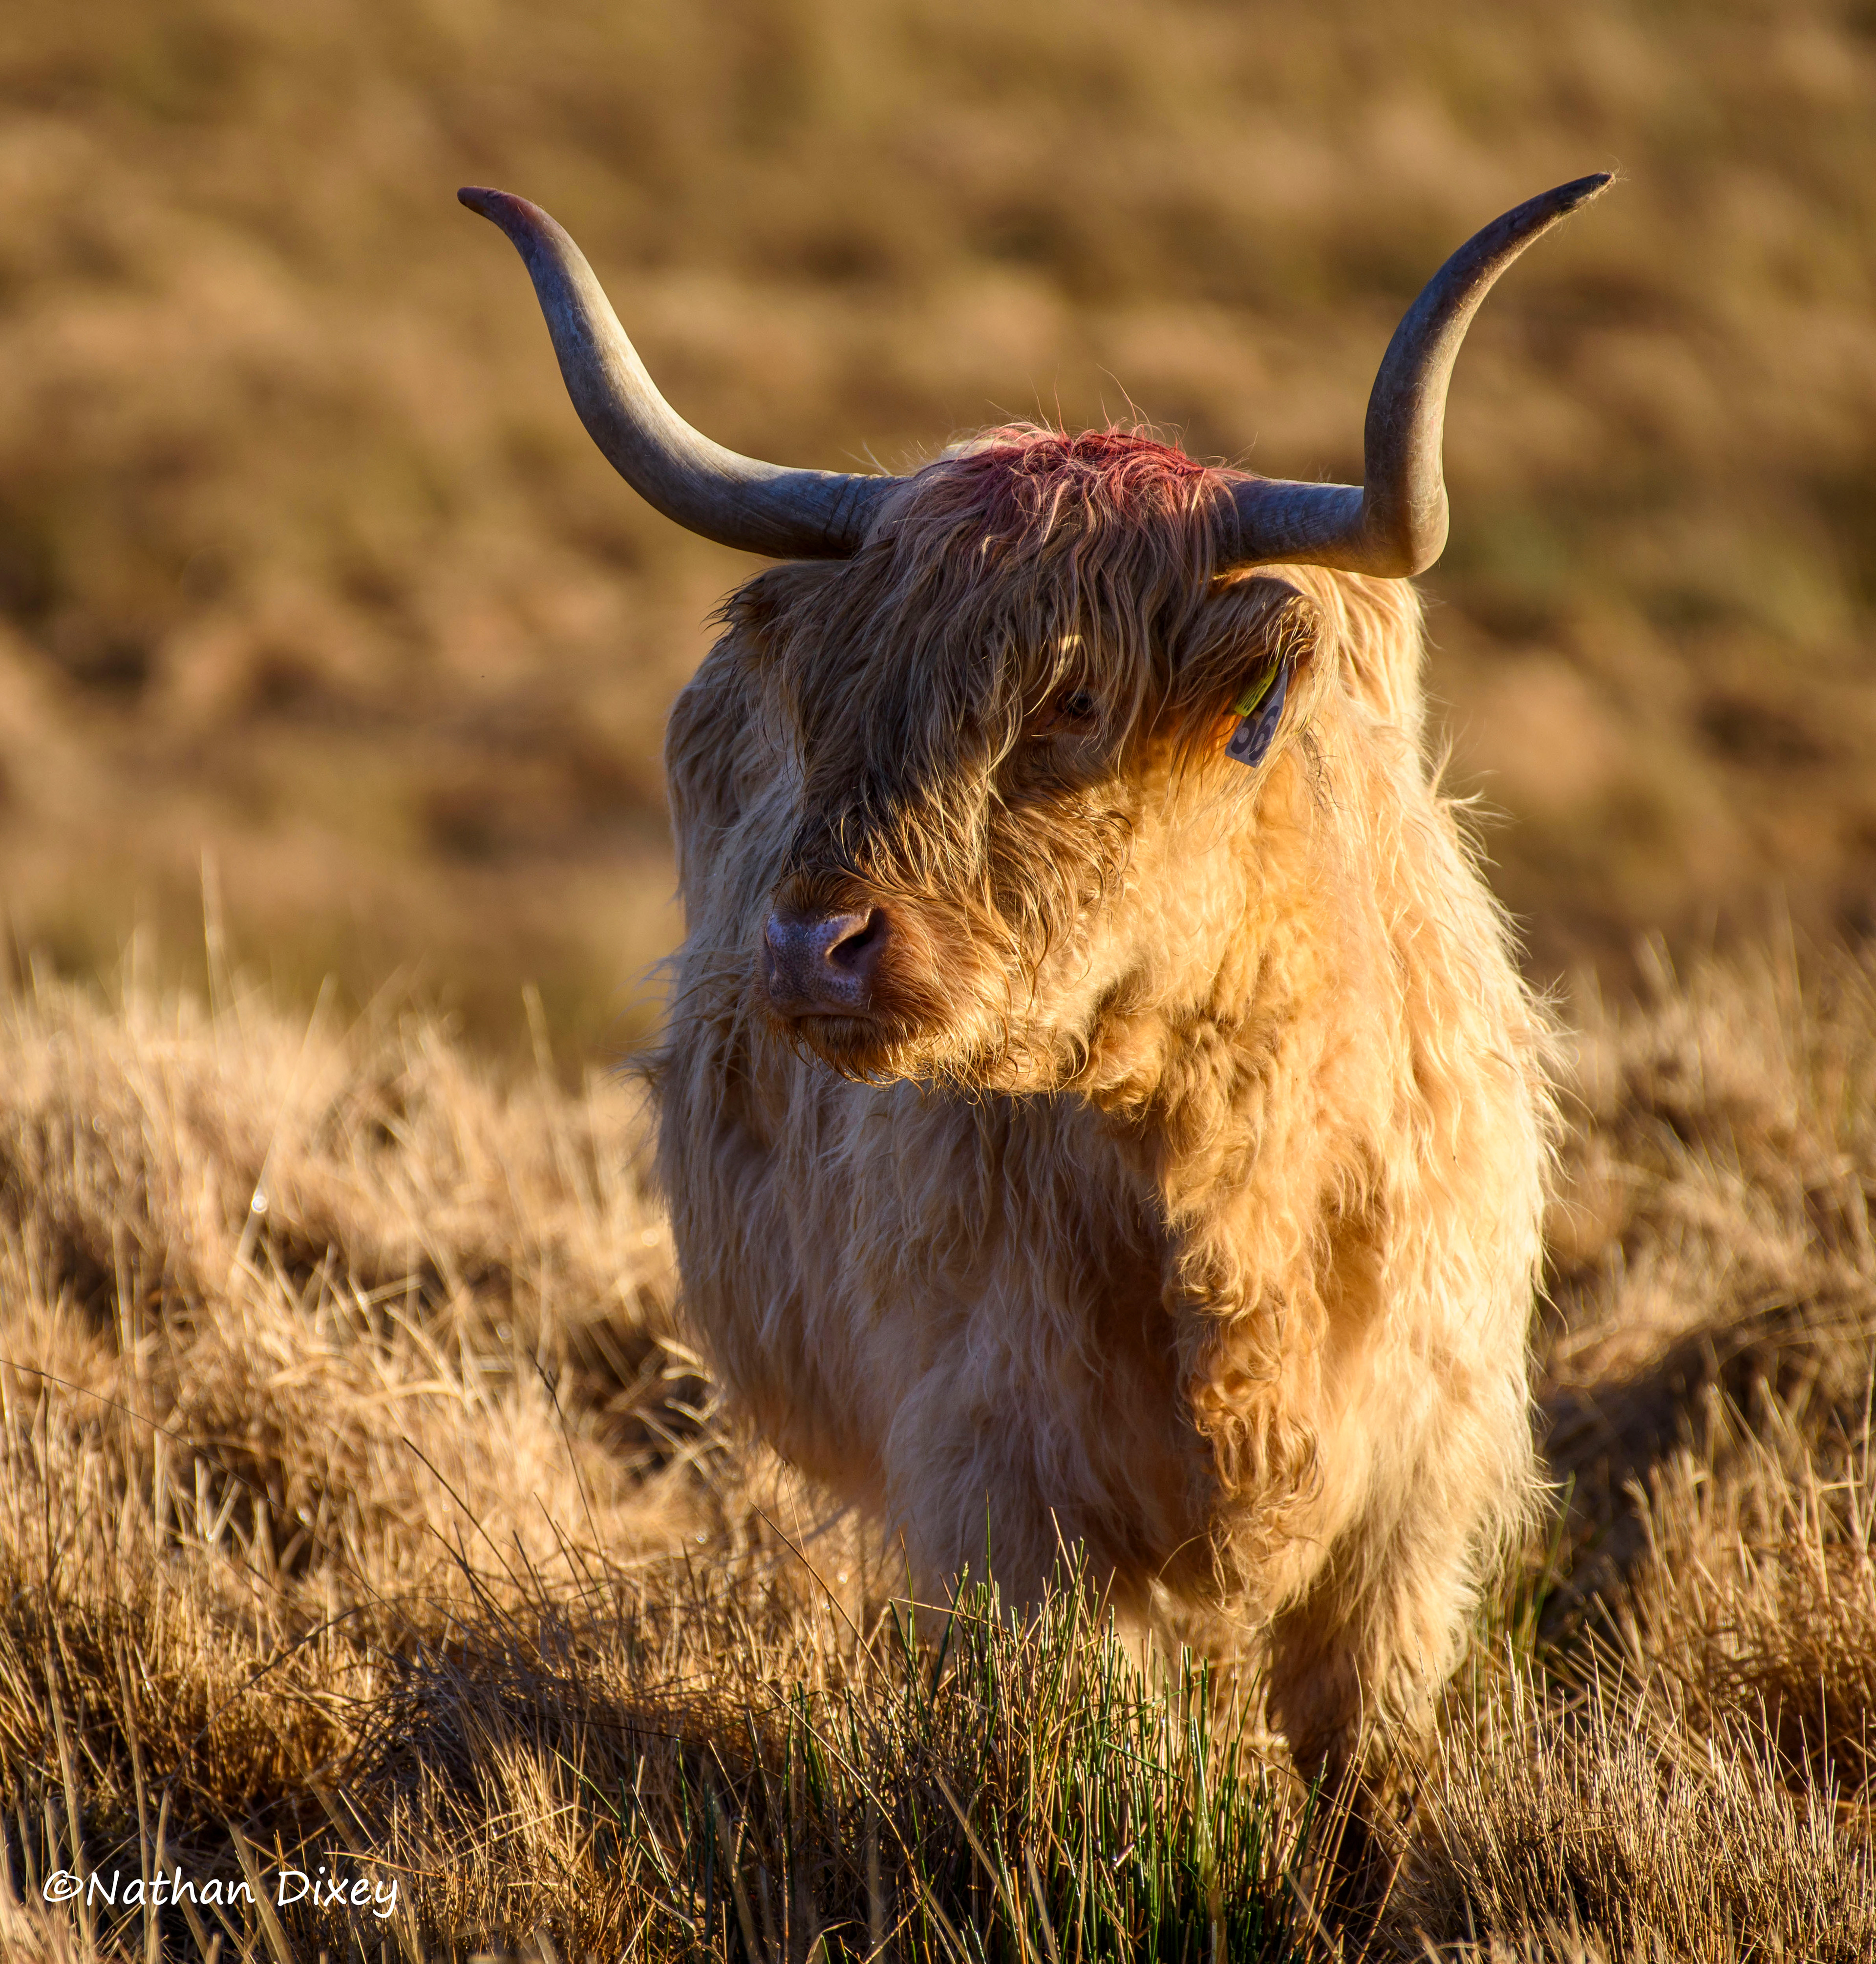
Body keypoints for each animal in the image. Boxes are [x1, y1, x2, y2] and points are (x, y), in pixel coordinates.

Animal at [463, 176, 1606, 1778]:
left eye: (1072, 694)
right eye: (830, 693)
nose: (807, 943)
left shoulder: (1412, 1512)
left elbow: (1357, 1783)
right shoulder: (1004, 1493)